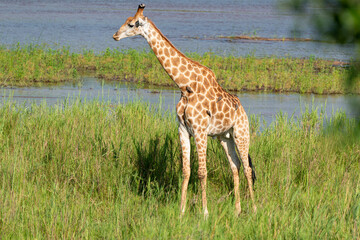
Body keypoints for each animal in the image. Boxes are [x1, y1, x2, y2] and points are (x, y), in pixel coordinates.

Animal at [112, 3, 256, 218]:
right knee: (235, 165)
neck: (184, 85)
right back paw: (237, 210)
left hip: (241, 132)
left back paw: (254, 209)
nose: (115, 35)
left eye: (131, 24)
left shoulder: (200, 130)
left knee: (247, 168)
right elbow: (186, 171)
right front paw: (181, 211)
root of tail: (244, 112)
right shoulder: (182, 129)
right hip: (225, 137)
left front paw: (204, 213)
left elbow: (202, 172)